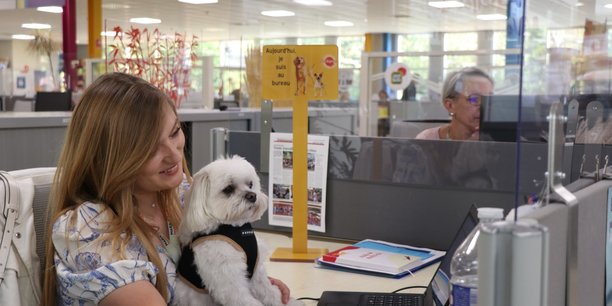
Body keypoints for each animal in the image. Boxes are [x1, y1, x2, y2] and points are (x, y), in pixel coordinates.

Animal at [175, 157, 304, 304]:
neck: (236, 228)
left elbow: (271, 292)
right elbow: (245, 299)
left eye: (250, 184)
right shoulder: (229, 281)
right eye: (228, 189)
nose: (252, 195)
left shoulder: (256, 275)